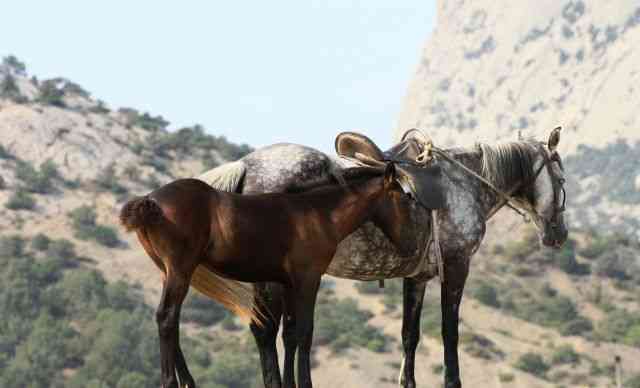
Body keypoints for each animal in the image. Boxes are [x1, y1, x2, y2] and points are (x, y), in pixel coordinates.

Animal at [120, 163, 418, 388]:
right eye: (405, 198)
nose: (413, 247)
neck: (317, 213)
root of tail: (150, 200)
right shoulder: (309, 279)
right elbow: (305, 333)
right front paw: (305, 383)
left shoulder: (287, 283)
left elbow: (290, 333)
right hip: (180, 270)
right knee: (168, 317)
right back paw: (172, 382)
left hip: (168, 271)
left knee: (168, 320)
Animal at [198, 128, 568, 388]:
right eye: (562, 179)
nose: (558, 234)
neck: (464, 184)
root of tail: (245, 165)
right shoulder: (457, 267)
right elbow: (450, 332)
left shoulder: (417, 277)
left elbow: (409, 335)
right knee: (267, 331)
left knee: (276, 332)